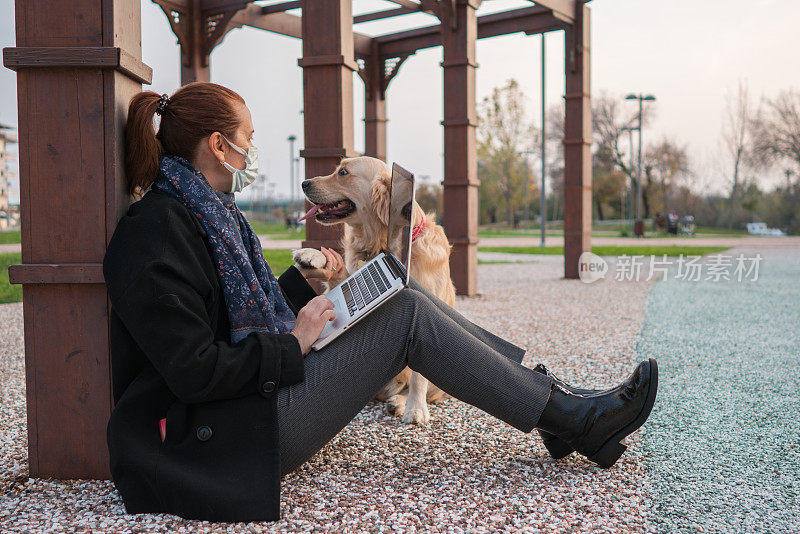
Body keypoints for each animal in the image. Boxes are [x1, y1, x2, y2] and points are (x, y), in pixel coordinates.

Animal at [292, 156, 456, 428]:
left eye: (343, 172)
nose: (304, 183)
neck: (381, 244)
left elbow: (419, 376)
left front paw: (415, 408)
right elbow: (338, 275)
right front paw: (313, 256)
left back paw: (399, 402)